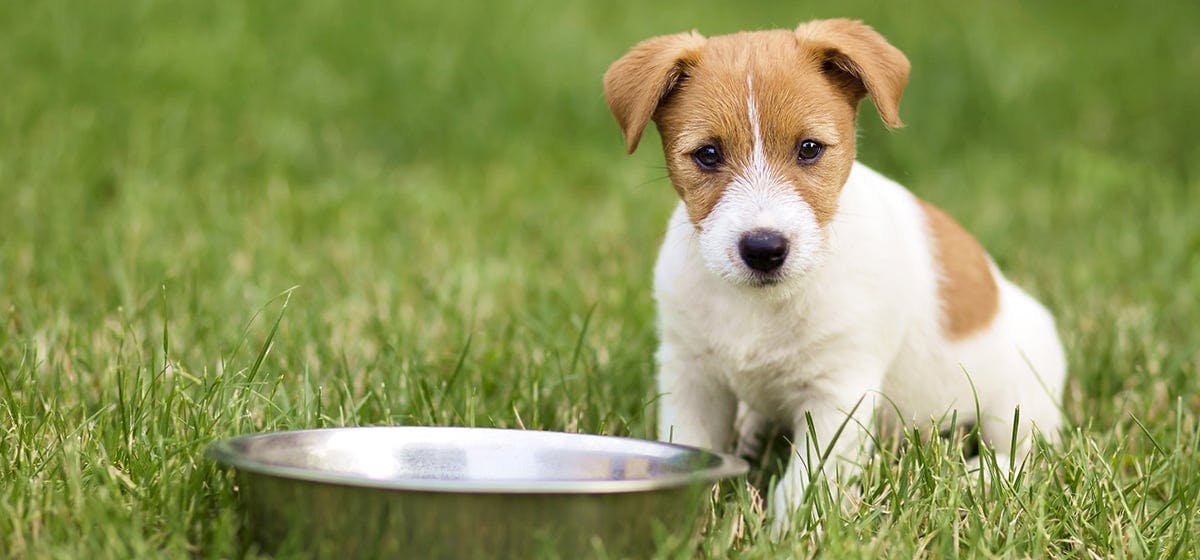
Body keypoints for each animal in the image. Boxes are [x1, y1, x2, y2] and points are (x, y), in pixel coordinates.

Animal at [604, 17, 1065, 534]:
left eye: (809, 149)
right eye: (707, 154)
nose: (763, 248)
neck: (760, 305)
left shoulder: (838, 394)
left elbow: (804, 483)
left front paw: (787, 535)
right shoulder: (691, 376)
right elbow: (694, 446)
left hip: (1021, 399)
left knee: (1024, 453)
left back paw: (978, 477)